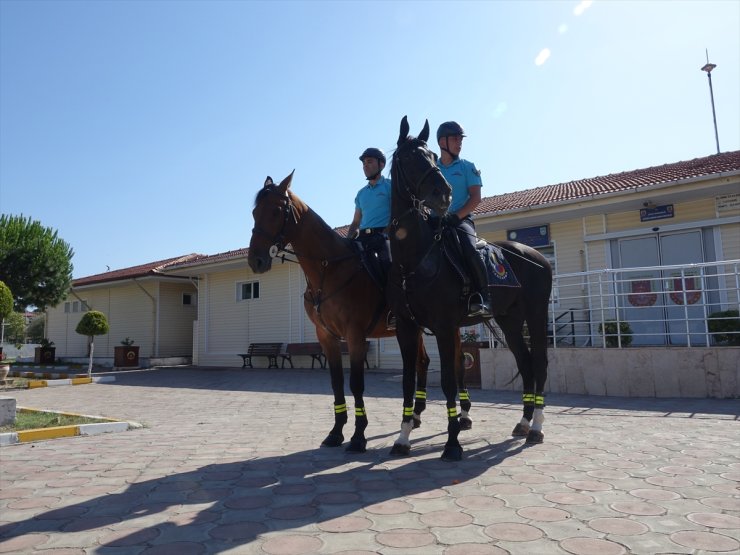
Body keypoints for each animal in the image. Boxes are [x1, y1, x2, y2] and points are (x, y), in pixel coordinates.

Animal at [249, 173, 430, 452]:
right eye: (254, 212)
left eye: (276, 211)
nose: (255, 260)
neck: (329, 269)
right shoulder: (326, 337)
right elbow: (336, 382)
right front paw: (336, 432)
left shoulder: (354, 335)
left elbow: (356, 383)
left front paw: (358, 435)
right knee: (422, 362)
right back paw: (416, 416)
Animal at [390, 116, 552, 460]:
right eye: (409, 158)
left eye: (433, 157)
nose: (443, 194)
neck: (415, 258)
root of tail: (536, 257)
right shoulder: (408, 328)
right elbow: (408, 382)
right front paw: (403, 438)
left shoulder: (443, 326)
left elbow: (450, 381)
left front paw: (453, 443)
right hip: (510, 320)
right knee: (525, 364)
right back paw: (523, 422)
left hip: (535, 314)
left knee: (539, 364)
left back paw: (536, 427)